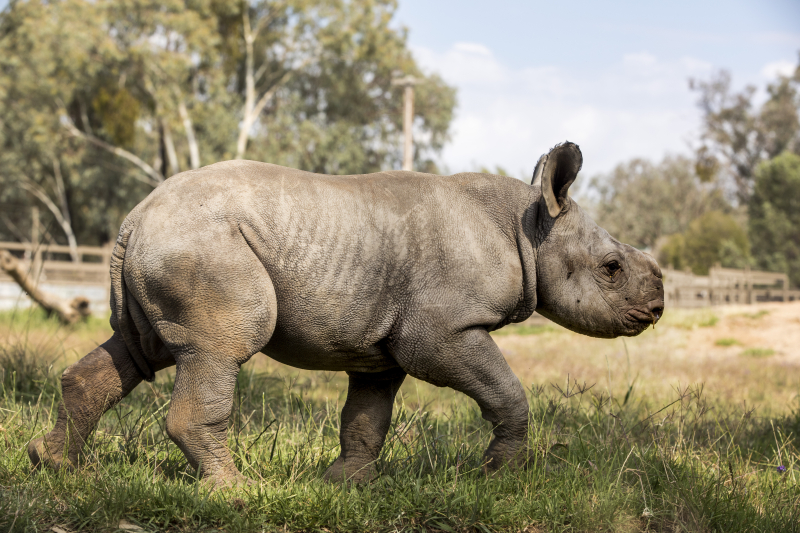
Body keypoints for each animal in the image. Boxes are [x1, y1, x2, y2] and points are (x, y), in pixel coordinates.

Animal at [28, 142, 664, 487]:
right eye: (611, 268)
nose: (657, 306)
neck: (529, 229)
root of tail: (137, 215)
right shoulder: (443, 330)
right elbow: (506, 391)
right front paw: (496, 477)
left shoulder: (383, 345)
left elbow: (366, 415)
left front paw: (347, 484)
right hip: (202, 245)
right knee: (219, 347)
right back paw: (236, 491)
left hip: (169, 244)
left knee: (138, 350)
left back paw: (55, 466)